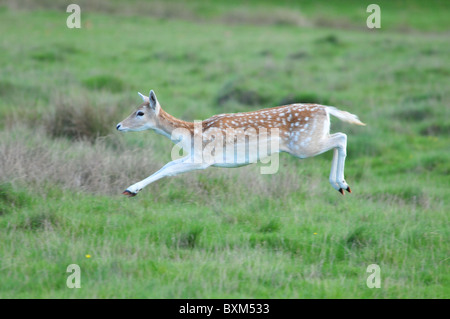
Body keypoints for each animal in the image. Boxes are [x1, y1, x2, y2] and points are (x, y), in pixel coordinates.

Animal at [116, 90, 366, 198]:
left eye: (139, 113)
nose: (118, 126)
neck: (191, 134)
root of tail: (326, 109)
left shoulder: (205, 158)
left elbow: (170, 170)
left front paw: (131, 189)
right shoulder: (195, 155)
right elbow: (167, 165)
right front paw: (132, 188)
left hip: (303, 144)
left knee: (341, 137)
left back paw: (340, 183)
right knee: (340, 137)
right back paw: (342, 185)